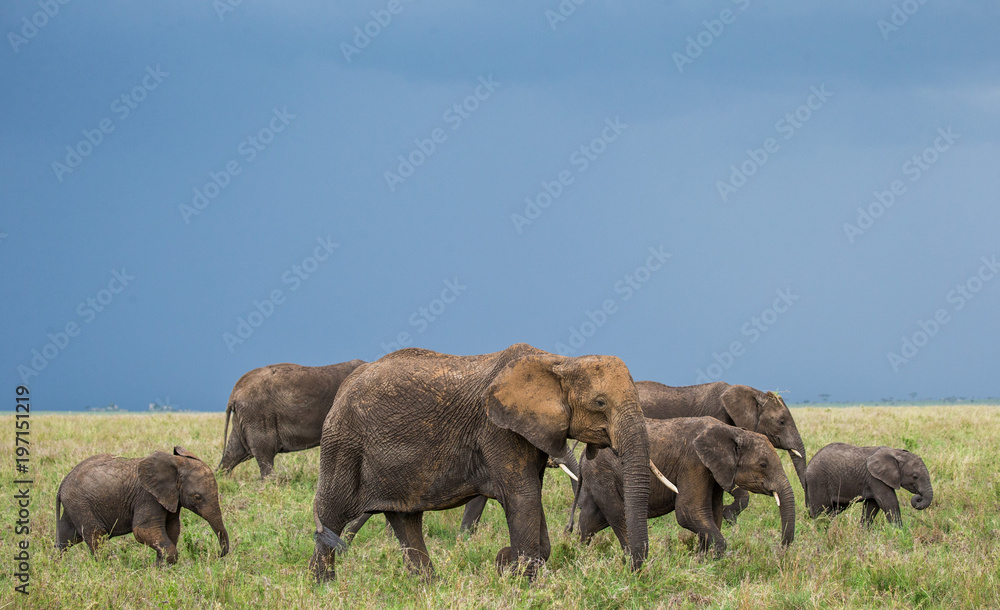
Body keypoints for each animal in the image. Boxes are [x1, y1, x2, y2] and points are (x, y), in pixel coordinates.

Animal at [56, 447, 229, 565]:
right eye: (197, 497)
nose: (217, 555)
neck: (176, 463)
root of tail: (63, 482)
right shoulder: (148, 497)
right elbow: (143, 530)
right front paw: (160, 566)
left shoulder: (171, 499)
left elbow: (172, 529)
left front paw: (160, 567)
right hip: (80, 504)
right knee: (96, 535)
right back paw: (108, 566)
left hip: (74, 506)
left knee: (67, 538)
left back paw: (57, 565)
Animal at [218, 359, 365, 478]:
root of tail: (234, 394)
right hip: (257, 414)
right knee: (264, 452)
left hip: (243, 418)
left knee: (234, 452)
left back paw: (222, 478)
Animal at [309, 343, 651, 582]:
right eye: (600, 403)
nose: (630, 571)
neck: (558, 361)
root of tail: (345, 386)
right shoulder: (497, 428)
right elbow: (523, 495)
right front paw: (520, 579)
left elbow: (531, 495)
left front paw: (509, 566)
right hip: (344, 442)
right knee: (332, 510)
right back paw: (323, 585)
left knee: (405, 517)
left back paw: (428, 586)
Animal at [576, 417, 795, 556]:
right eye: (763, 465)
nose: (780, 549)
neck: (731, 431)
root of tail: (583, 456)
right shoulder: (693, 463)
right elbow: (688, 512)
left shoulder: (714, 471)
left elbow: (712, 513)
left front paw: (703, 560)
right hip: (603, 473)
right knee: (618, 516)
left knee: (591, 520)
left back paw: (581, 554)